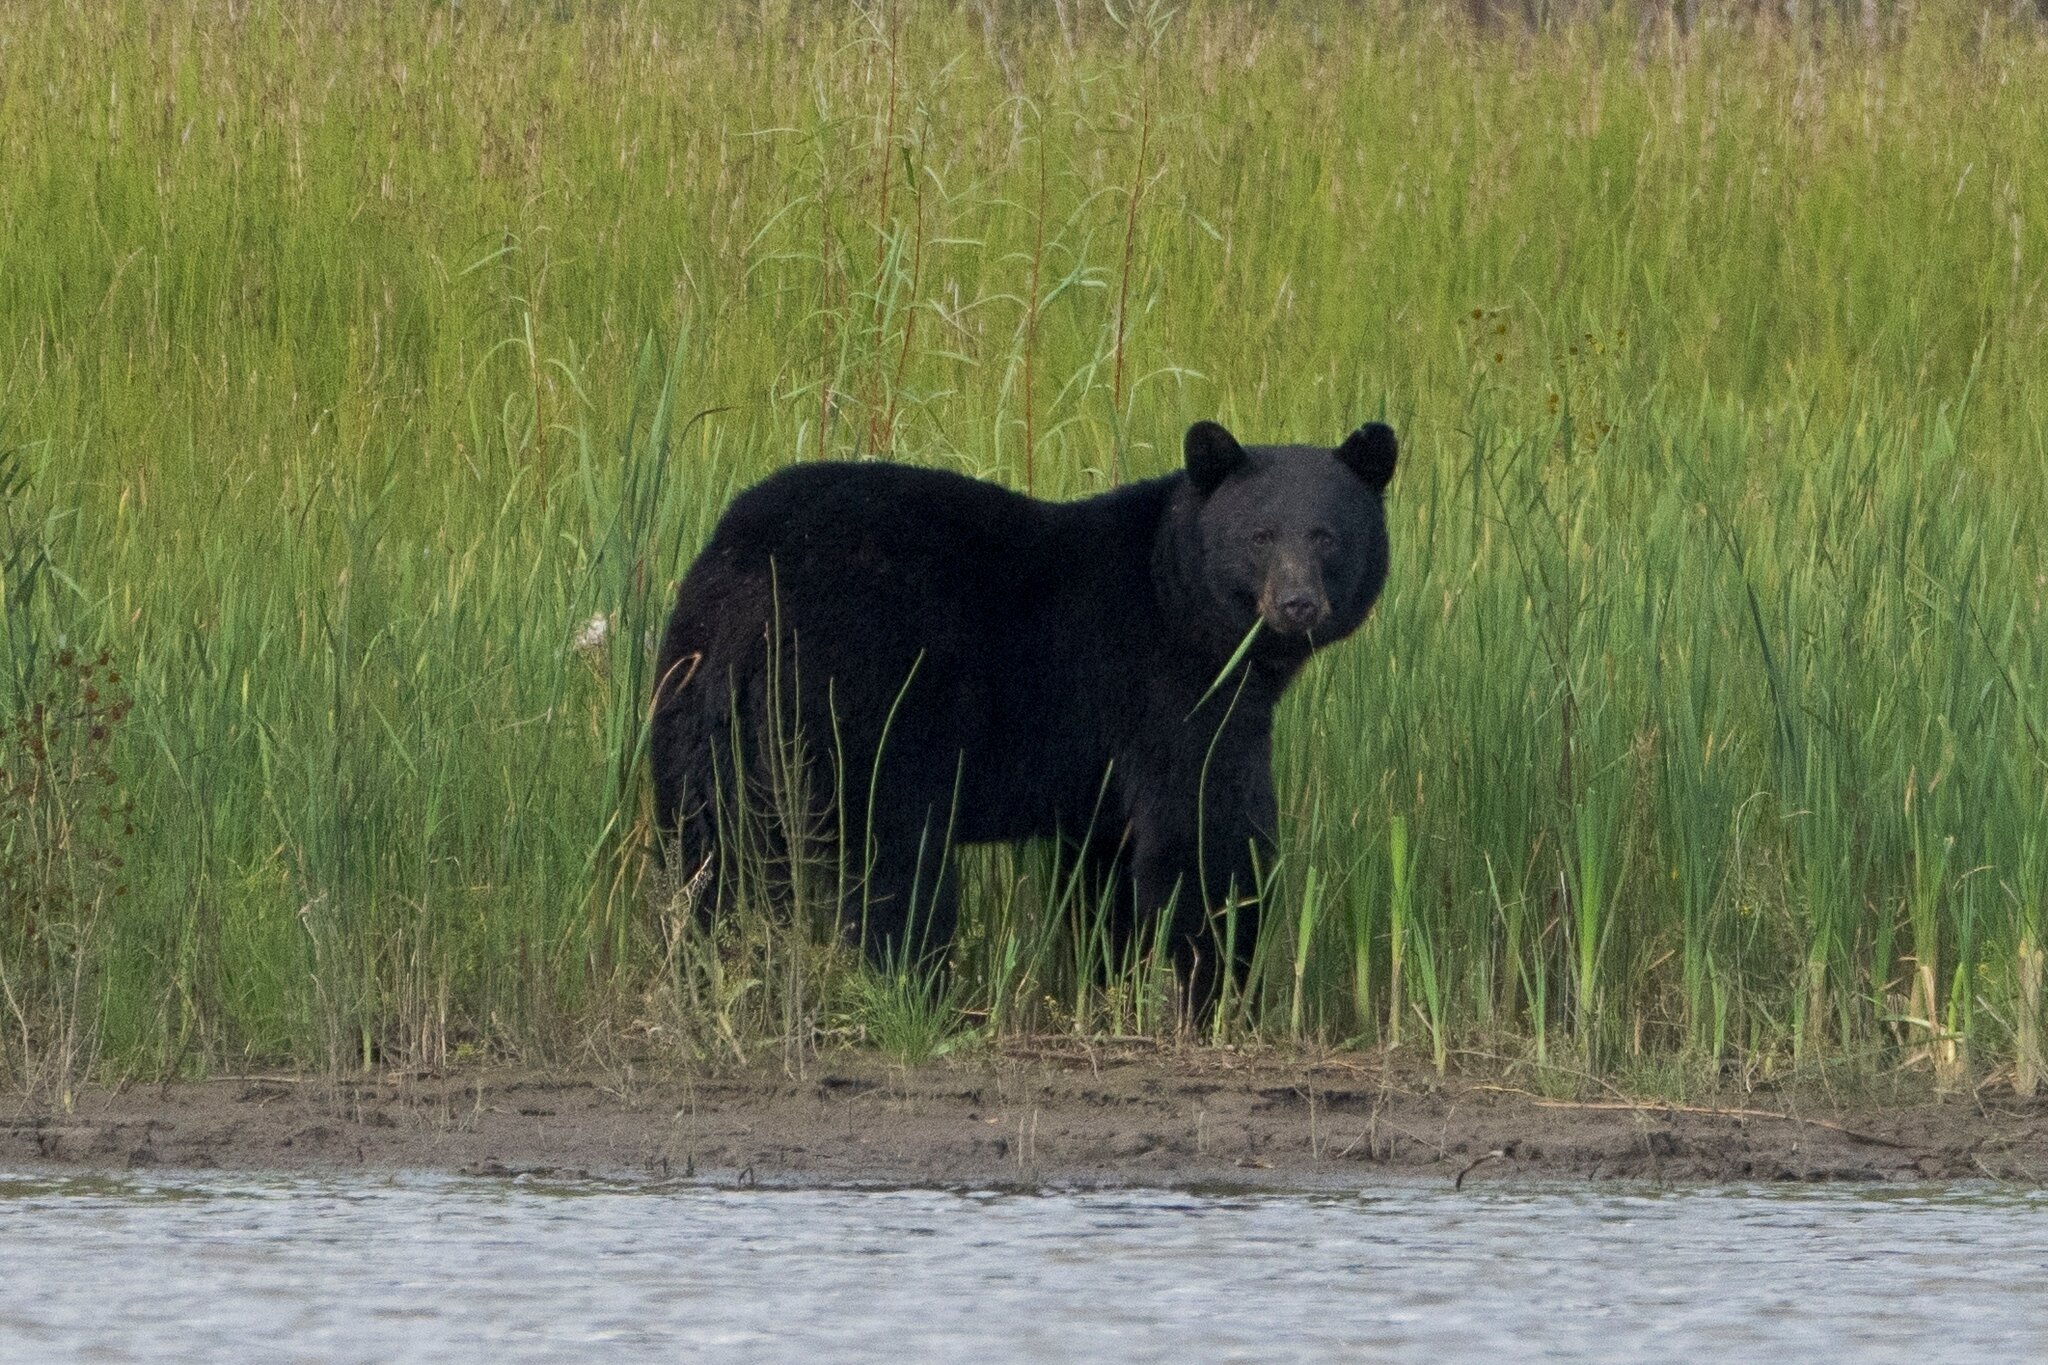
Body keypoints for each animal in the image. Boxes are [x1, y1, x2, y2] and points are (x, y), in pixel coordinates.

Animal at [650, 418, 1397, 1014]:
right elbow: (1207, 837)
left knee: (703, 854)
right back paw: (918, 996)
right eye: (1261, 535)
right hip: (860, 707)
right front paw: (1220, 997)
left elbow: (1105, 872)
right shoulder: (1170, 690)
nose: (1297, 604)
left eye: (1327, 536)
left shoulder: (1102, 772)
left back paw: (701, 972)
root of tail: (752, 577)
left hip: (695, 702)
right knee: (894, 866)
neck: (1176, 593)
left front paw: (1110, 986)